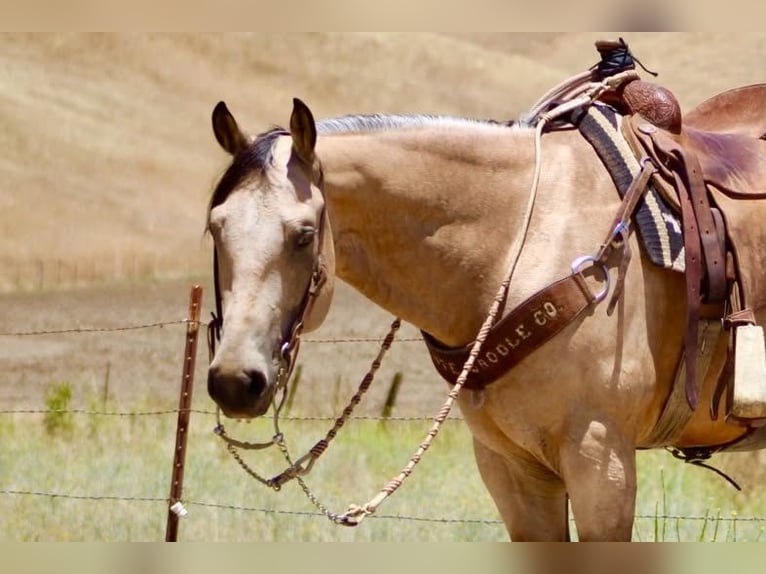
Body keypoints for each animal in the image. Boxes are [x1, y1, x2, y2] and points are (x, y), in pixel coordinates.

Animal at [204, 95, 766, 541]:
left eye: (303, 235)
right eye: (214, 228)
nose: (235, 380)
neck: (525, 239)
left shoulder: (601, 460)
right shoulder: (512, 469)